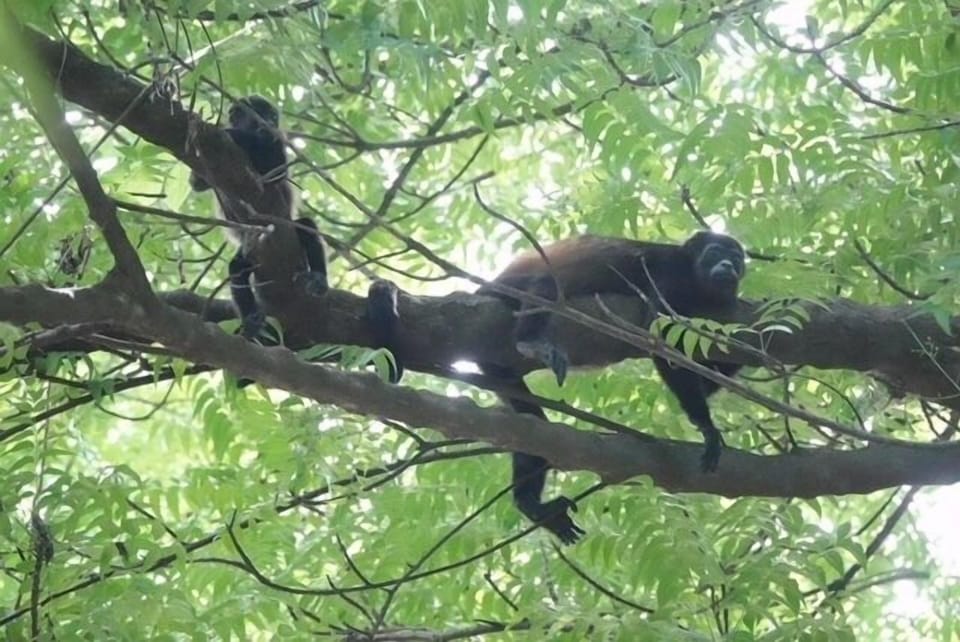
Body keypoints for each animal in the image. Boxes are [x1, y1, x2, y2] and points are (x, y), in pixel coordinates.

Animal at [190, 95, 328, 339]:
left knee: (306, 226)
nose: (270, 124)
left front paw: (238, 134)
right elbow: (197, 183)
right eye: (262, 114)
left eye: (273, 117)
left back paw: (319, 279)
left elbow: (277, 169)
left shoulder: (277, 142)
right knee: (236, 268)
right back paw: (252, 319)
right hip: (248, 249)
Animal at [479, 231, 746, 544]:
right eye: (714, 252)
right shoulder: (670, 275)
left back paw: (532, 506)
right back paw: (531, 342)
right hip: (509, 291)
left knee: (531, 428)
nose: (728, 265)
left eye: (736, 259)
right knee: (546, 285)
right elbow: (659, 338)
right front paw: (706, 427)